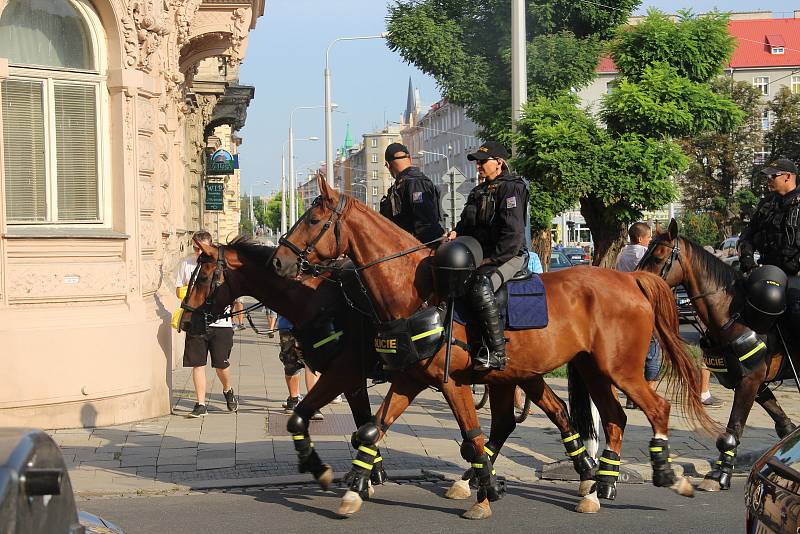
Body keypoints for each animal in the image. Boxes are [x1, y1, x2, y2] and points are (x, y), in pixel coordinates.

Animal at [181, 240, 592, 516]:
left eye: (203, 276)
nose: (187, 321)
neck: (320, 300)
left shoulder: (343, 372)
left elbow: (334, 419)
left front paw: (347, 473)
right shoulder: (351, 379)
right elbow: (359, 422)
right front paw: (365, 472)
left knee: (534, 416)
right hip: (518, 374)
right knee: (533, 415)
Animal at [272, 178, 716, 520]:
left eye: (314, 220)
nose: (278, 261)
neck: (418, 291)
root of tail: (630, 280)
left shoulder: (452, 383)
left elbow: (472, 436)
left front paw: (484, 494)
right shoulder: (409, 380)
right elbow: (371, 429)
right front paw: (353, 489)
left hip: (618, 370)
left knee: (656, 409)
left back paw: (667, 475)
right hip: (591, 370)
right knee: (613, 418)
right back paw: (597, 488)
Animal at [636, 221, 796, 494]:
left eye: (657, 258)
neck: (735, 314)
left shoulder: (750, 382)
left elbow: (732, 430)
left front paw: (720, 475)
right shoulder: (756, 384)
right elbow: (784, 426)